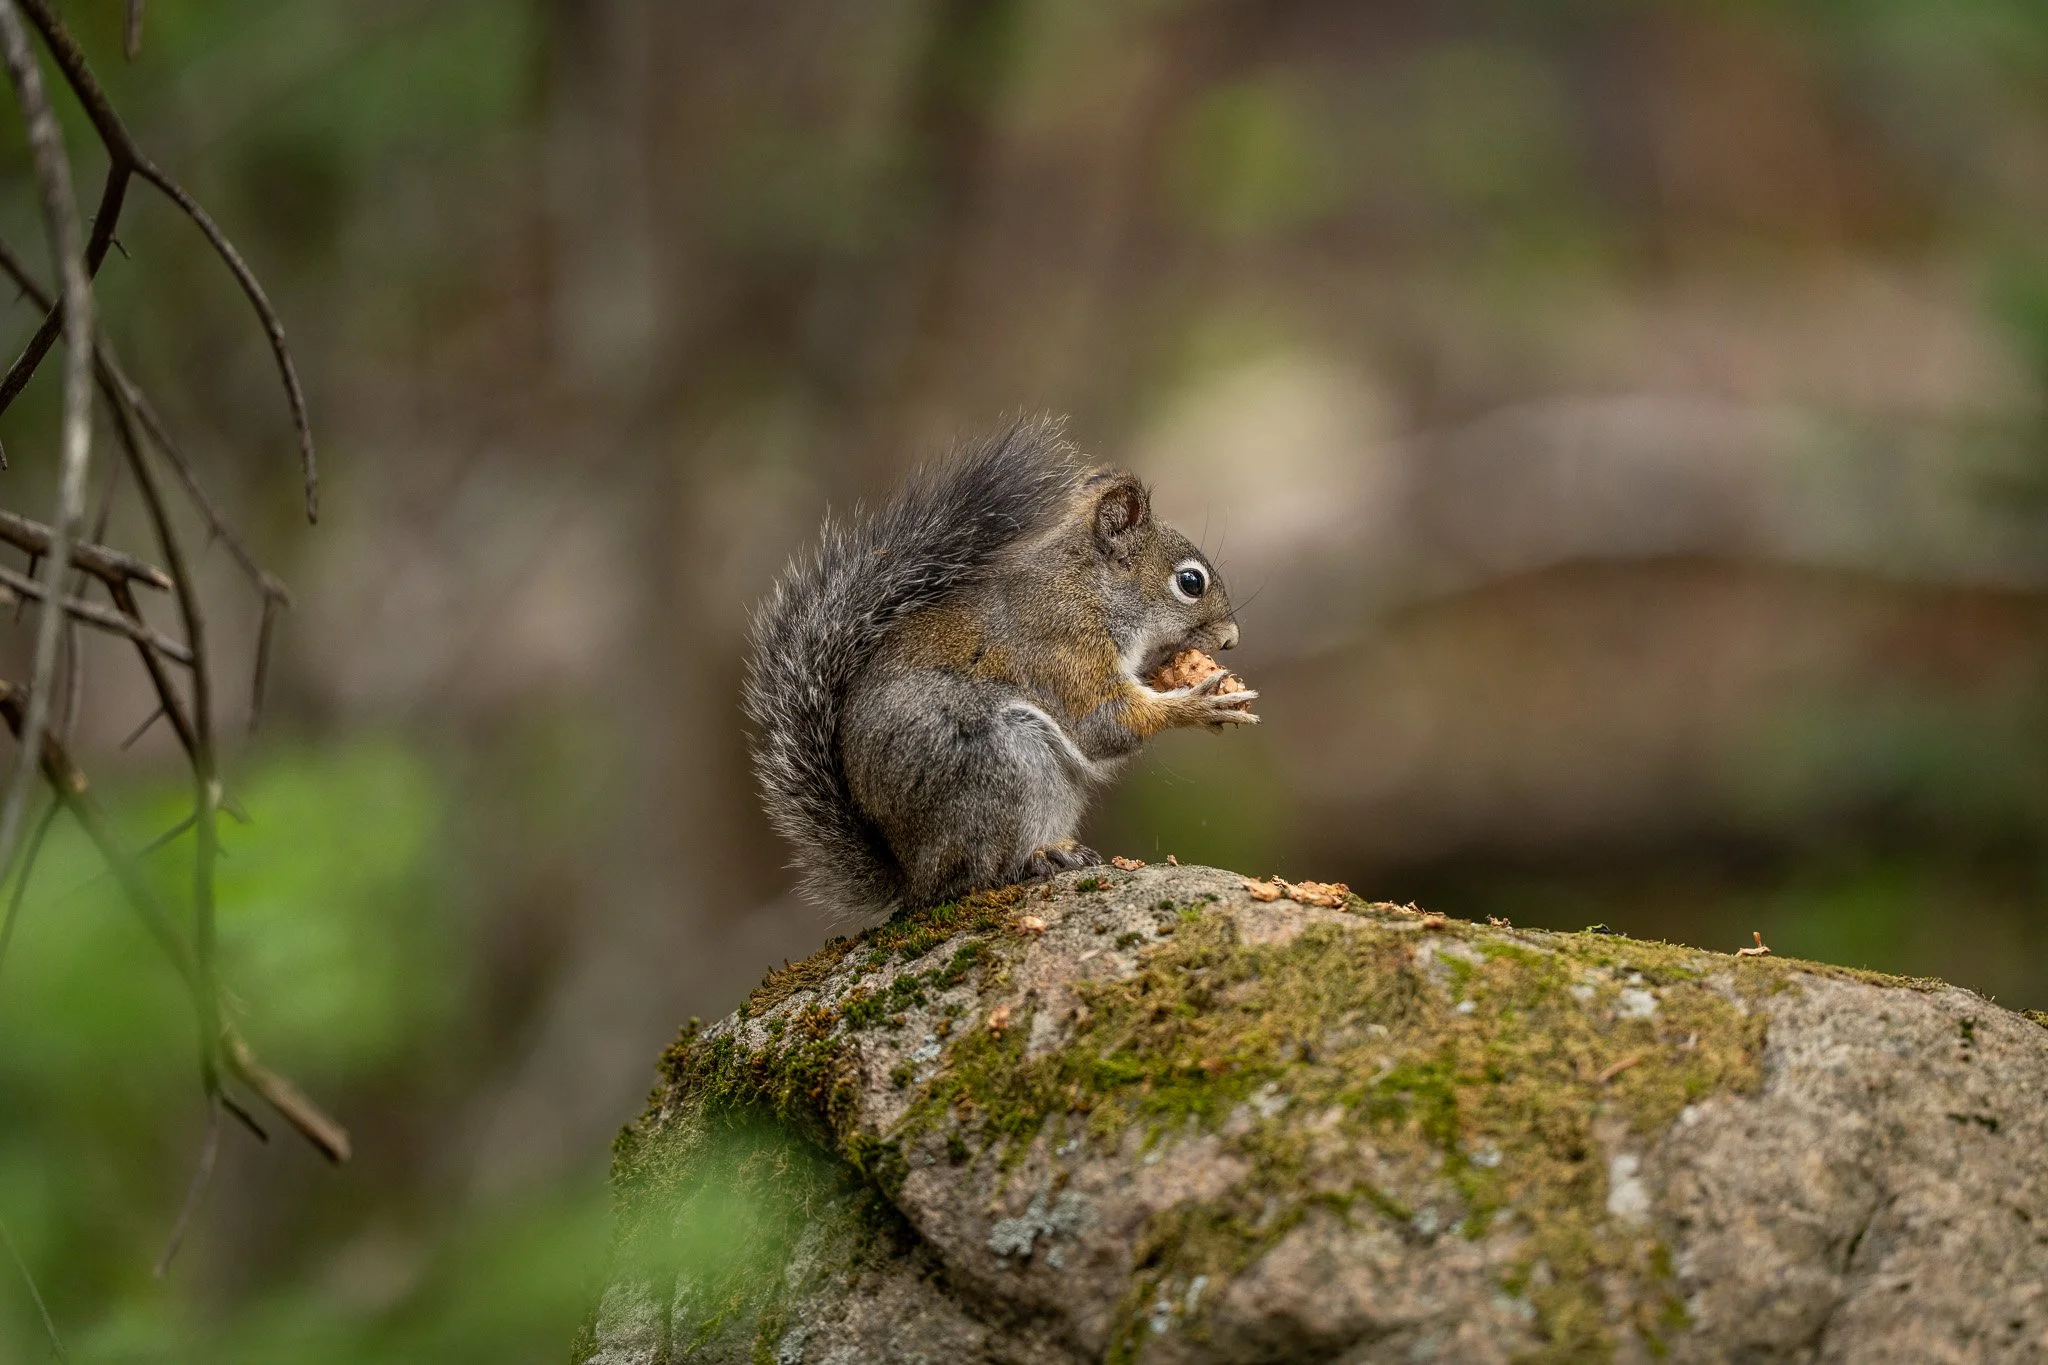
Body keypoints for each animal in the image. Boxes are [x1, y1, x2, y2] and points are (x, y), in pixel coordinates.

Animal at [744, 416, 1257, 919]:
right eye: (1190, 582)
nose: (1231, 639)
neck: (1090, 590)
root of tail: (912, 875)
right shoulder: (1063, 648)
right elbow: (1104, 724)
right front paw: (1198, 706)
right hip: (998, 761)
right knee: (976, 876)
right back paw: (1037, 860)